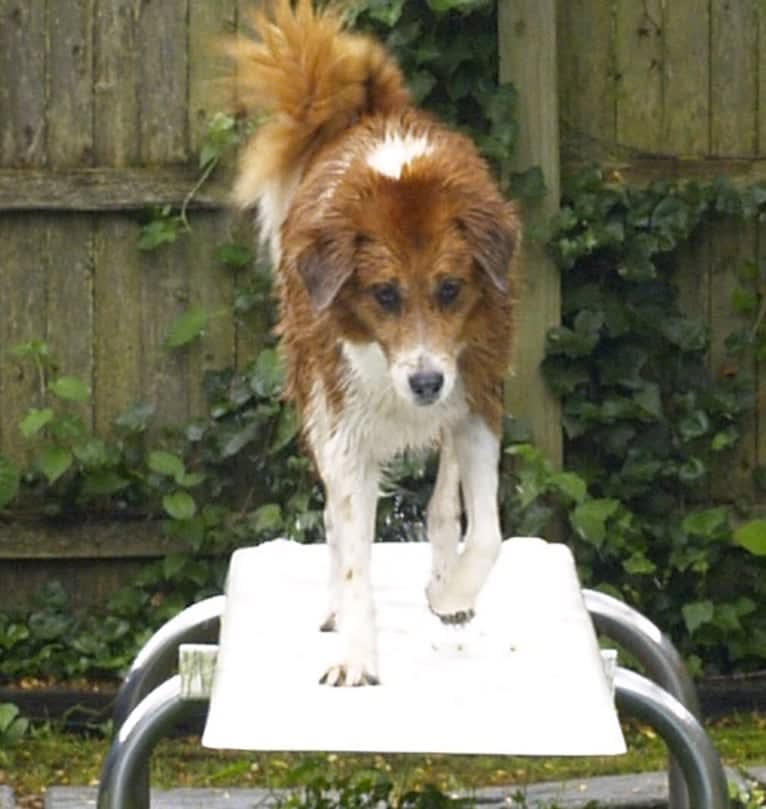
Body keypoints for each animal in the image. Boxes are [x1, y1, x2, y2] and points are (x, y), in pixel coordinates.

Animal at [225, 0, 520, 684]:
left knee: (443, 507)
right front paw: (357, 658)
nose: (425, 382)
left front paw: (451, 592)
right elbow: (355, 551)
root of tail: (368, 112)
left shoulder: (477, 401)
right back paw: (338, 609)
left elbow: (485, 533)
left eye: (449, 289)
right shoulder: (344, 432)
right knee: (338, 527)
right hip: (316, 407)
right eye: (384, 295)